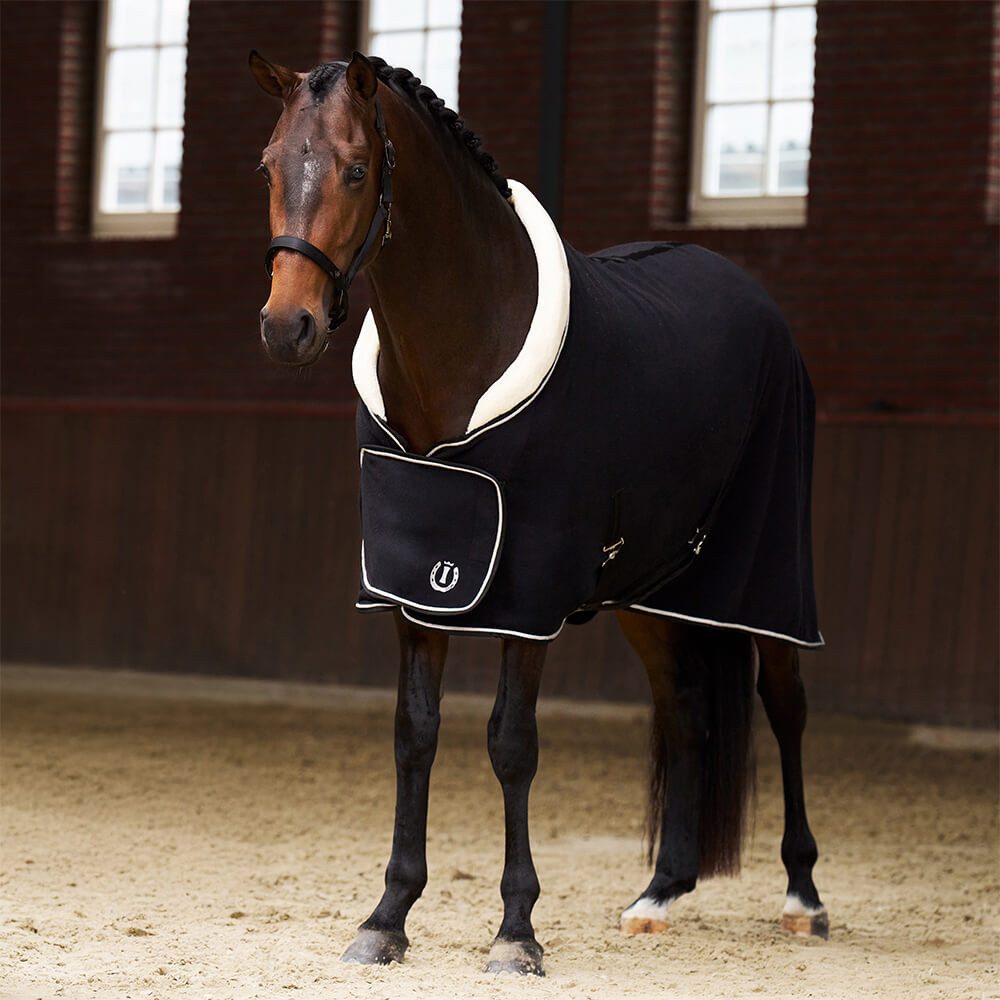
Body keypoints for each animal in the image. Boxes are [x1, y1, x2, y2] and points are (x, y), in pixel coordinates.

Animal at [250, 50, 828, 976]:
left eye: (355, 167)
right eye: (269, 167)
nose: (287, 326)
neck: (462, 352)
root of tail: (751, 296)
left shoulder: (527, 597)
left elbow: (510, 744)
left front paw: (516, 930)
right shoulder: (415, 587)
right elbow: (415, 734)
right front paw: (388, 917)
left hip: (768, 576)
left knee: (787, 704)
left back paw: (804, 897)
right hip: (650, 588)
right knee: (685, 709)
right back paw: (659, 892)